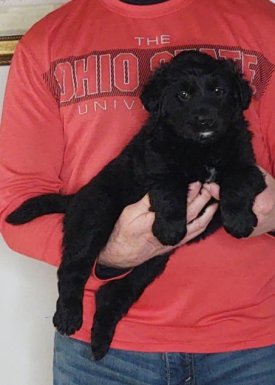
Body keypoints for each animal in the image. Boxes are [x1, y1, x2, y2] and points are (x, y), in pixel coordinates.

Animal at [6, 50, 266, 356]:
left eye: (219, 91)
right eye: (183, 94)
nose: (205, 121)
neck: (202, 148)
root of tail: (76, 196)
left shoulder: (248, 164)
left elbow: (238, 182)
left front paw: (239, 221)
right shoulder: (157, 163)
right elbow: (169, 189)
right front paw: (171, 228)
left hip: (152, 262)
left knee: (114, 292)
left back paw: (100, 340)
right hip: (94, 218)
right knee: (73, 269)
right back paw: (69, 316)